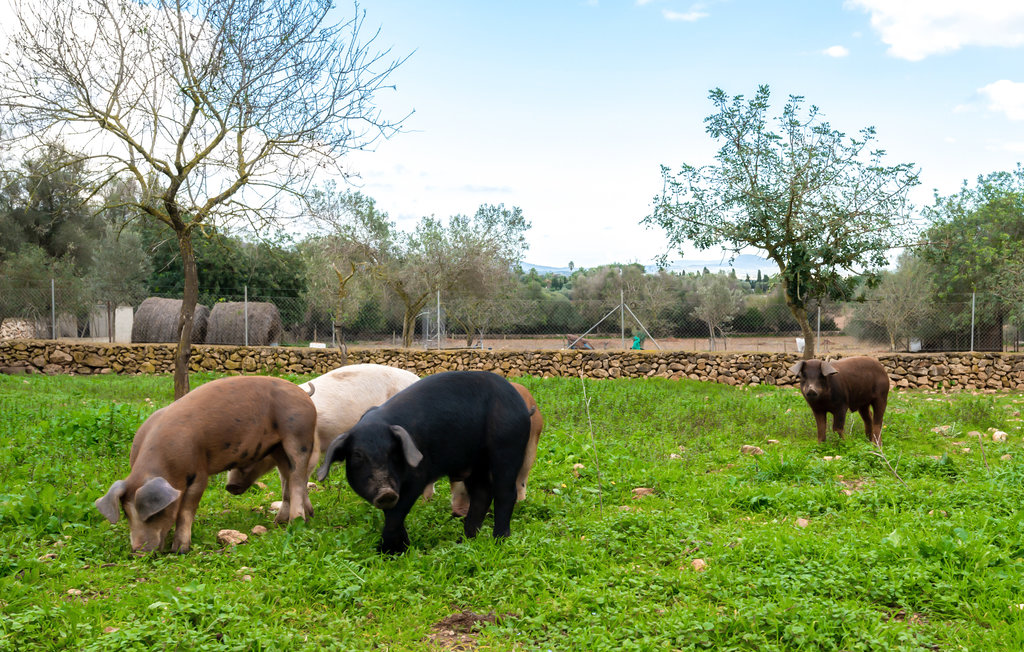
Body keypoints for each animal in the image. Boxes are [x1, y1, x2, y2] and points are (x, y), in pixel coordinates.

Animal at [93, 374, 315, 552]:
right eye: (126, 513)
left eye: (155, 513)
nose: (138, 552)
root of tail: (303, 393)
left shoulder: (199, 473)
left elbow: (186, 511)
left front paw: (180, 550)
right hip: (277, 448)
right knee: (289, 477)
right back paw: (282, 522)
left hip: (299, 436)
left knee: (297, 477)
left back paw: (296, 523)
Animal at [315, 368, 532, 552]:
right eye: (357, 456)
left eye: (392, 452)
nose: (386, 492)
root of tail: (521, 405)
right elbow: (392, 514)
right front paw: (400, 548)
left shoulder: (418, 475)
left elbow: (396, 513)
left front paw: (387, 552)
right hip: (476, 461)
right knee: (482, 494)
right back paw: (464, 540)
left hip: (507, 445)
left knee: (505, 492)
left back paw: (499, 541)